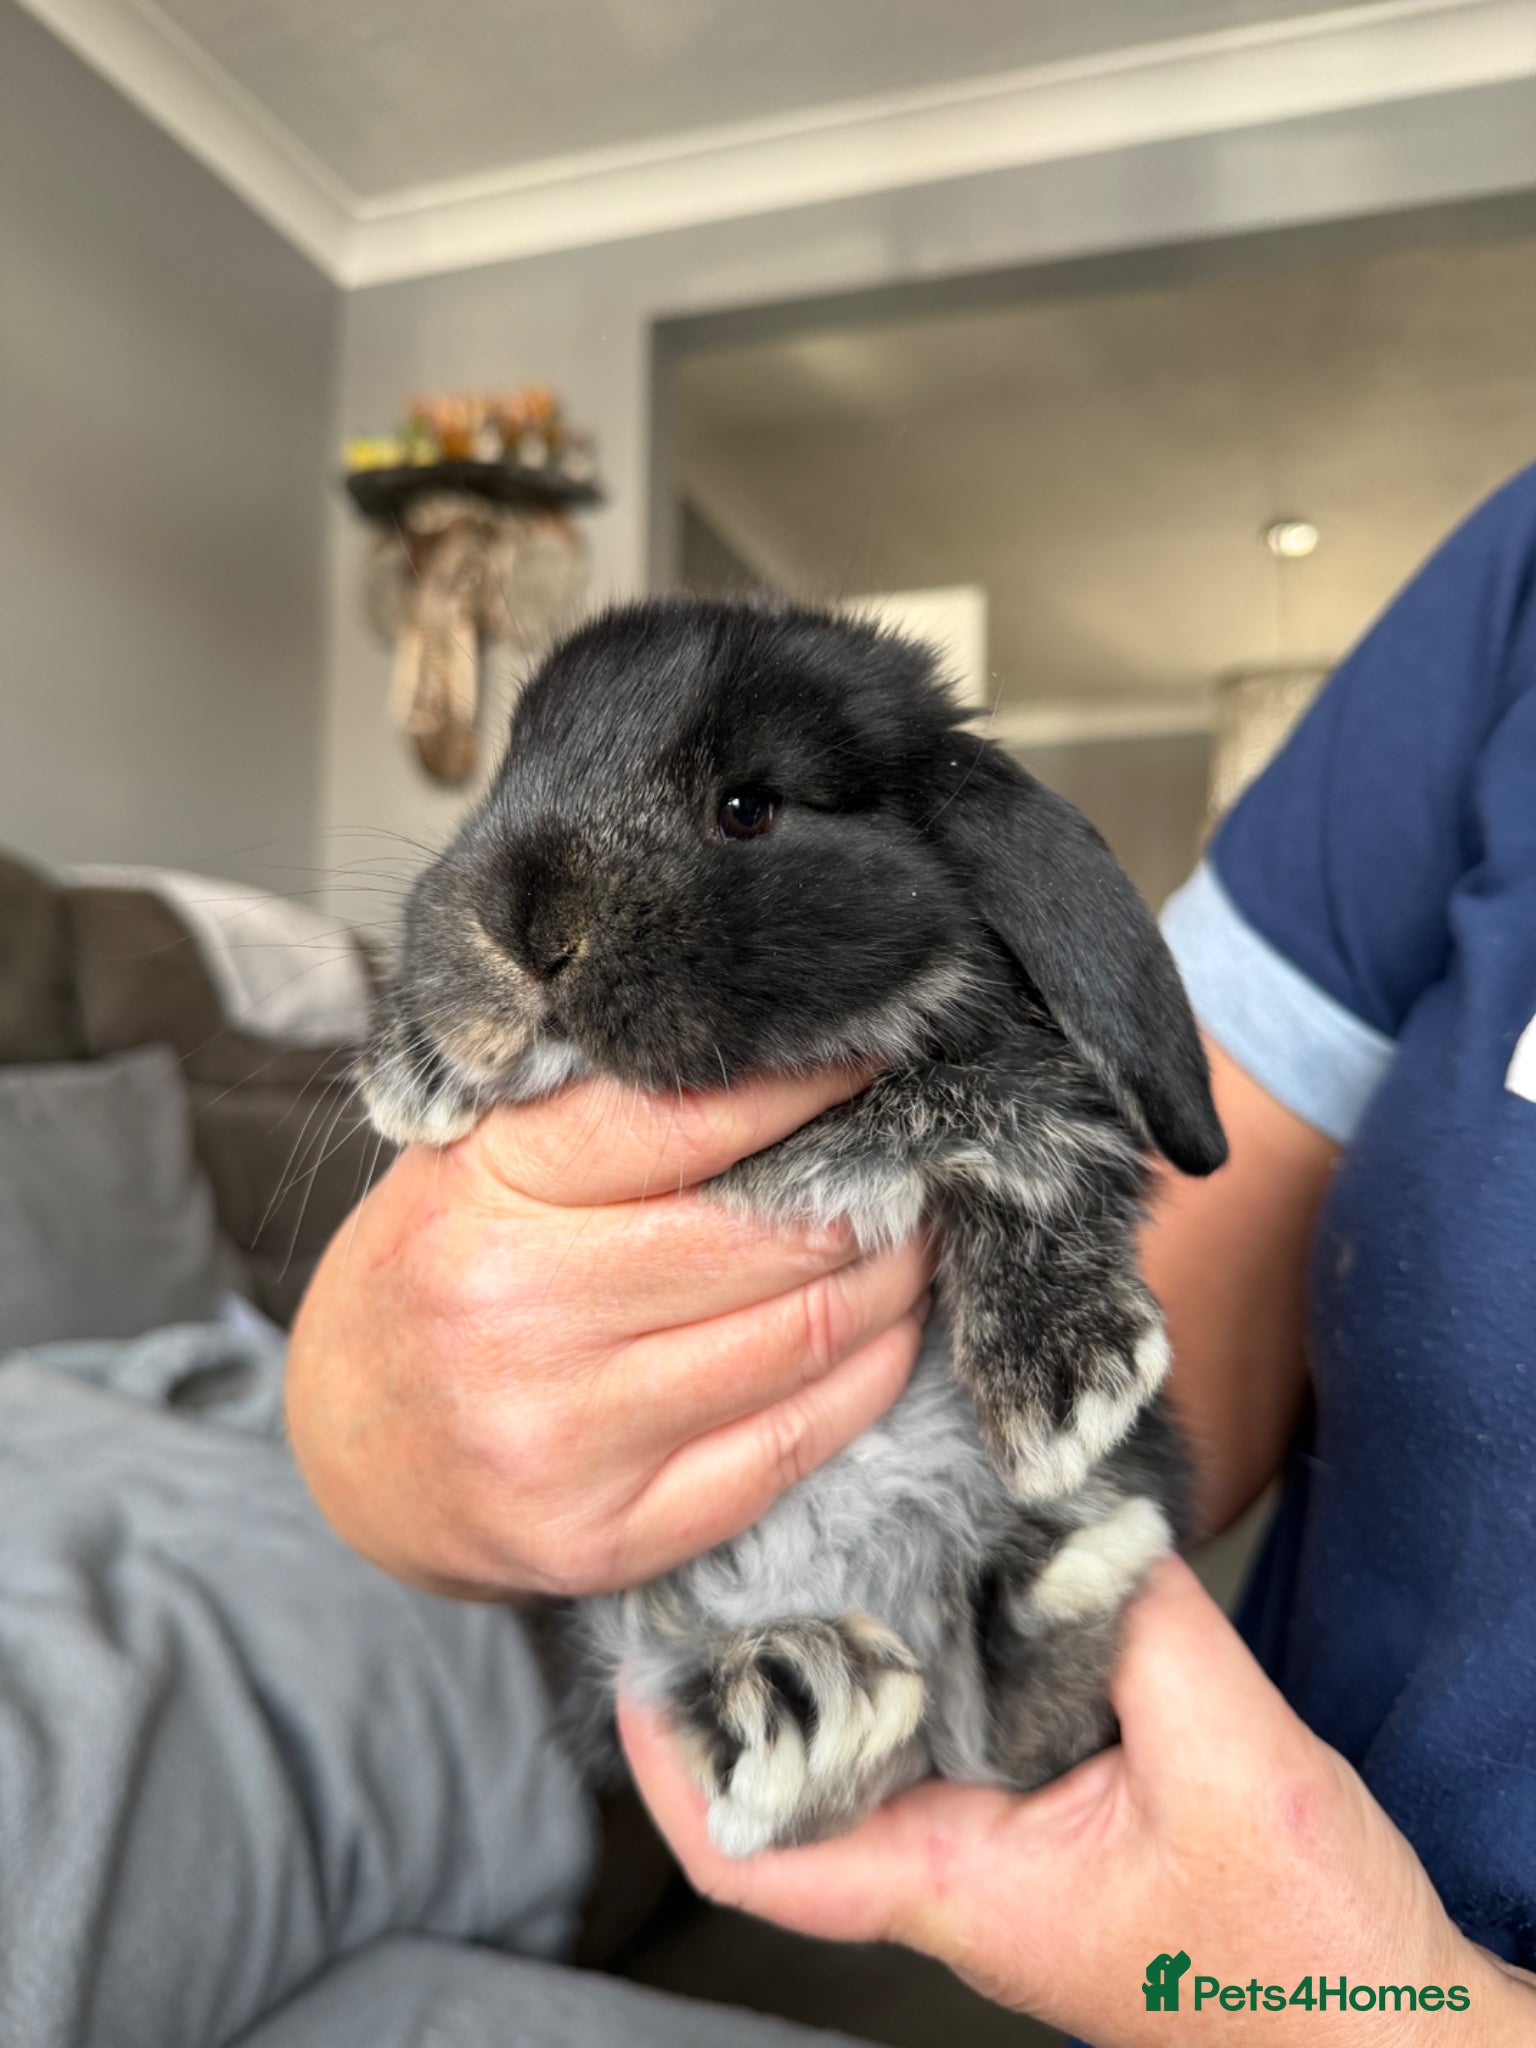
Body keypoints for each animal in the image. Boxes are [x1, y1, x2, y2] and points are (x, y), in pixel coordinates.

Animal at [358, 597, 1225, 1855]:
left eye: (746, 806)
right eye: (506, 773)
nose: (522, 929)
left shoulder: (1025, 1094)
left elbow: (1037, 1133)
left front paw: (1066, 1387)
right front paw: (411, 1074)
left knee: (1017, 1740)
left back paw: (1064, 1579)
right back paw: (805, 1700)